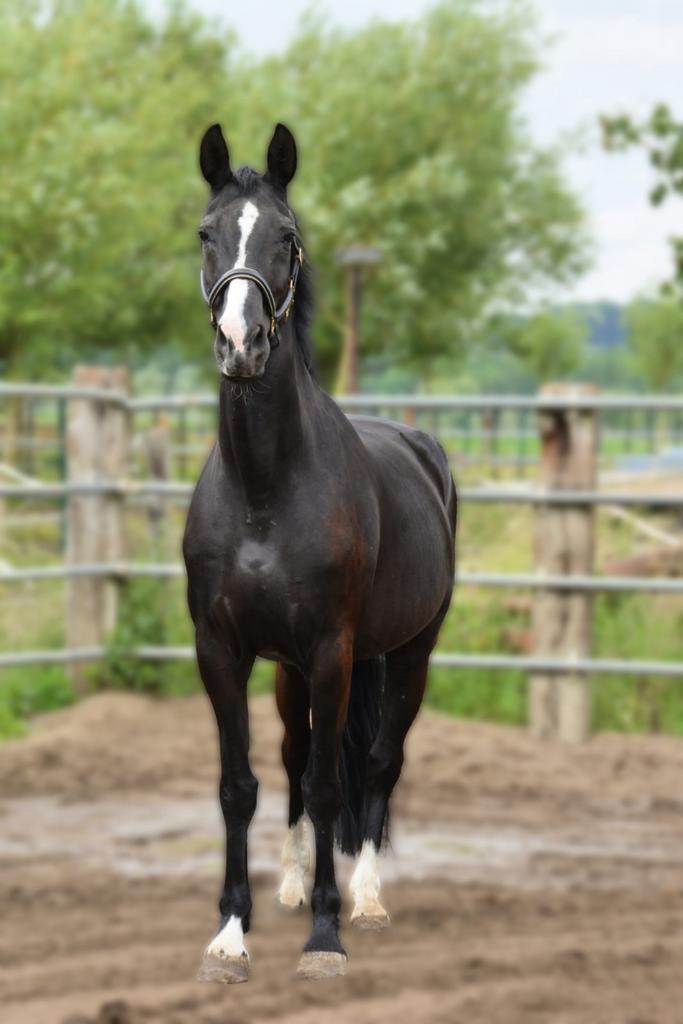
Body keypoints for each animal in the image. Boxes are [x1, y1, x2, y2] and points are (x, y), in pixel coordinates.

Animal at [182, 121, 457, 983]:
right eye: (206, 233)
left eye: (287, 237)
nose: (240, 342)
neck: (265, 490)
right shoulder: (223, 650)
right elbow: (241, 785)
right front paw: (230, 934)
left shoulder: (335, 650)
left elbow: (336, 784)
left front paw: (326, 940)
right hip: (292, 673)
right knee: (296, 757)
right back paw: (295, 884)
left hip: (407, 653)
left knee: (374, 762)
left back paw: (363, 898)